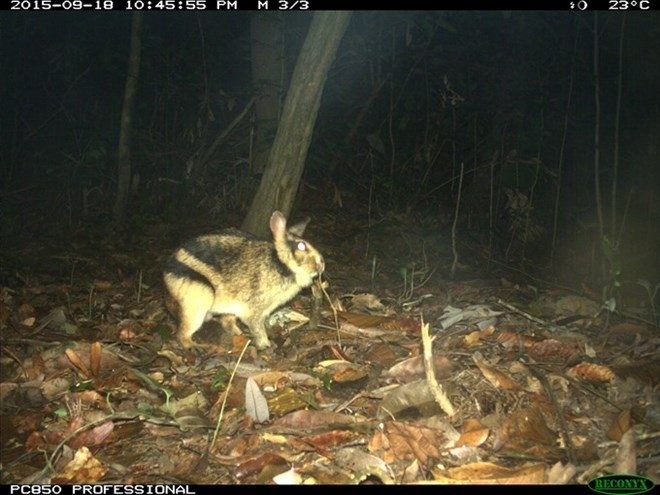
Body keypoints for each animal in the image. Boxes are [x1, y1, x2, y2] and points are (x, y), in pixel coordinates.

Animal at [163, 210, 324, 350]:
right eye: (301, 246)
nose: (322, 264)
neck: (281, 263)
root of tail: (166, 271)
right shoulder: (254, 312)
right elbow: (258, 330)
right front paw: (266, 346)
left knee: (226, 322)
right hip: (200, 299)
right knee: (182, 334)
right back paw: (195, 347)